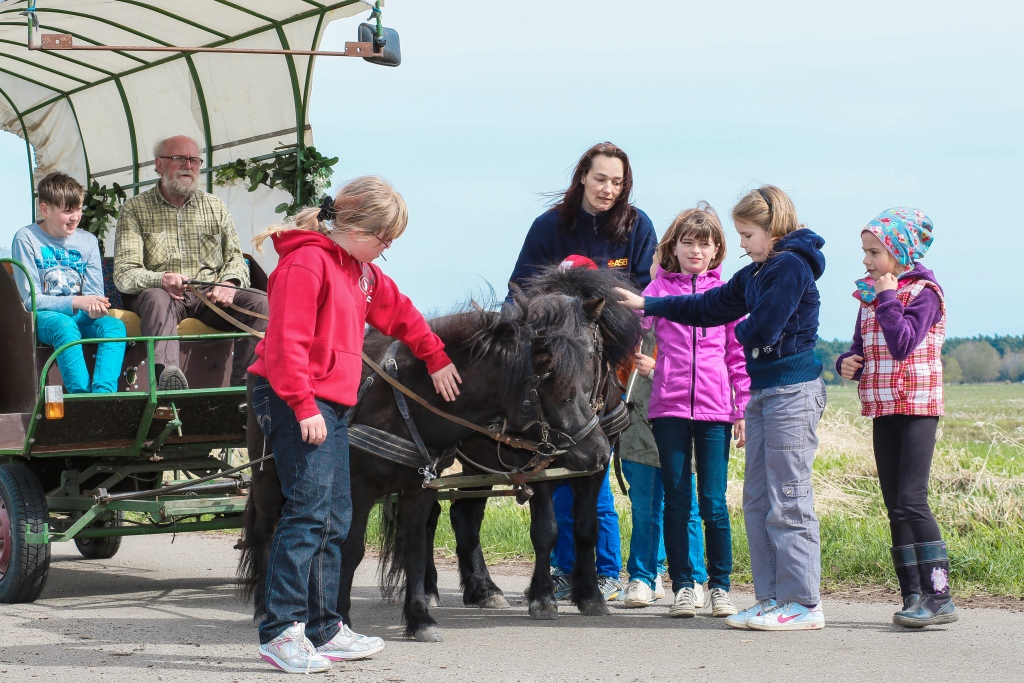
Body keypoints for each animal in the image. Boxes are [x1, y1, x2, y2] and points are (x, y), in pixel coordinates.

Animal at [235, 290, 610, 643]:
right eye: (560, 392)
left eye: (589, 373)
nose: (601, 452)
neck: (401, 400)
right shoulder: (358, 489)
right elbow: (350, 549)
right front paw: (341, 617)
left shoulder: (419, 490)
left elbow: (413, 548)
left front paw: (420, 619)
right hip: (269, 475)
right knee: (270, 530)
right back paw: (266, 607)